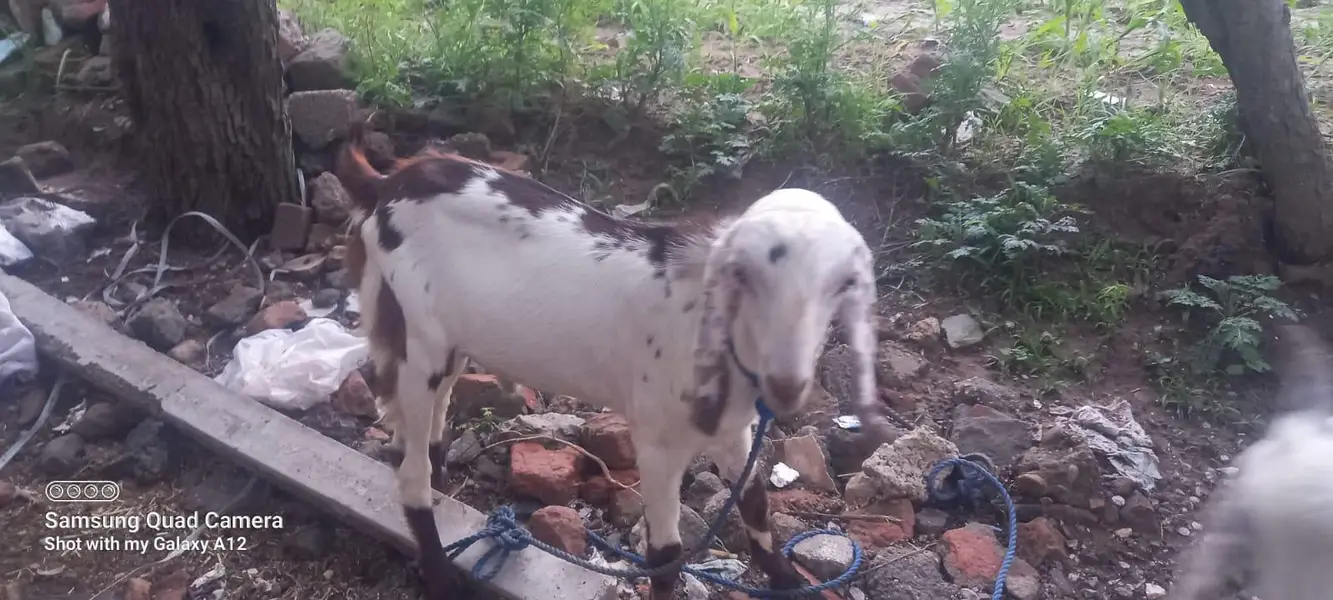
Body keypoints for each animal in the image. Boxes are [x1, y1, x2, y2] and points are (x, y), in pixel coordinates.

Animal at [333, 124, 897, 600]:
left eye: (843, 284)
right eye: (744, 275)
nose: (785, 386)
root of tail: (383, 184)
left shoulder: (735, 429)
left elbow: (755, 504)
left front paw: (787, 580)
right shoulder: (657, 441)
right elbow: (666, 555)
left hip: (447, 338)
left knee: (430, 421)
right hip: (415, 332)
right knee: (408, 469)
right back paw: (437, 569)